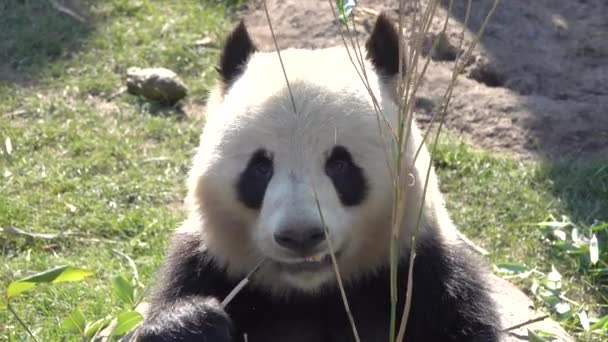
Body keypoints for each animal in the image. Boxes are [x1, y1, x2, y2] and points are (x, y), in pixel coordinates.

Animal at [135, 14, 502, 342]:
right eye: (260, 168)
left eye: (340, 165)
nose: (300, 235)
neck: (315, 293)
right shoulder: (206, 266)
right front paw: (194, 323)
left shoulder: (428, 277)